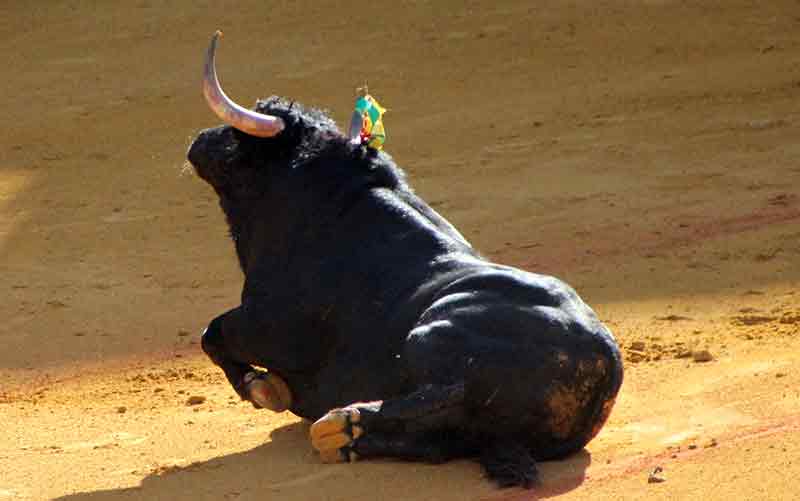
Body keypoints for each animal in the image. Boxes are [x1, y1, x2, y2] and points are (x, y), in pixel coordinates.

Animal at [188, 95, 624, 486]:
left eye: (239, 137)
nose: (199, 141)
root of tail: (607, 360)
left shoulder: (269, 326)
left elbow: (212, 333)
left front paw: (262, 388)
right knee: (442, 439)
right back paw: (344, 435)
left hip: (430, 335)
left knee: (451, 393)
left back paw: (346, 419)